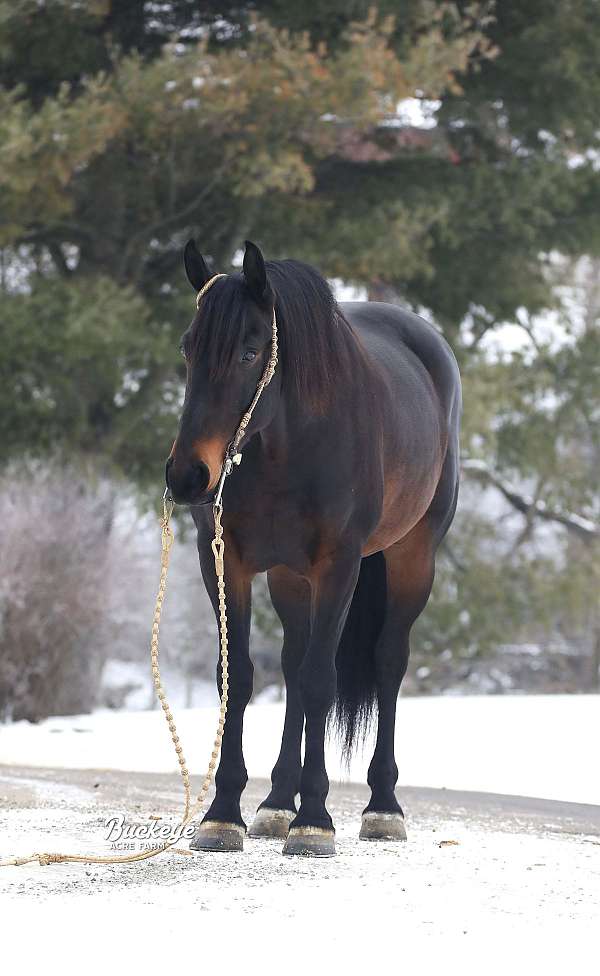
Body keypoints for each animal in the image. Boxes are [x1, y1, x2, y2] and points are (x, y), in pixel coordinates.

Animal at [164, 240, 460, 856]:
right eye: (187, 347)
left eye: (251, 351)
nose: (187, 475)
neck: (286, 446)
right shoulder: (225, 562)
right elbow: (241, 677)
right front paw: (223, 815)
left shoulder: (338, 565)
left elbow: (323, 678)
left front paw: (316, 820)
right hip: (288, 578)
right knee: (292, 663)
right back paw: (277, 802)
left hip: (411, 559)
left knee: (387, 661)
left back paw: (382, 807)